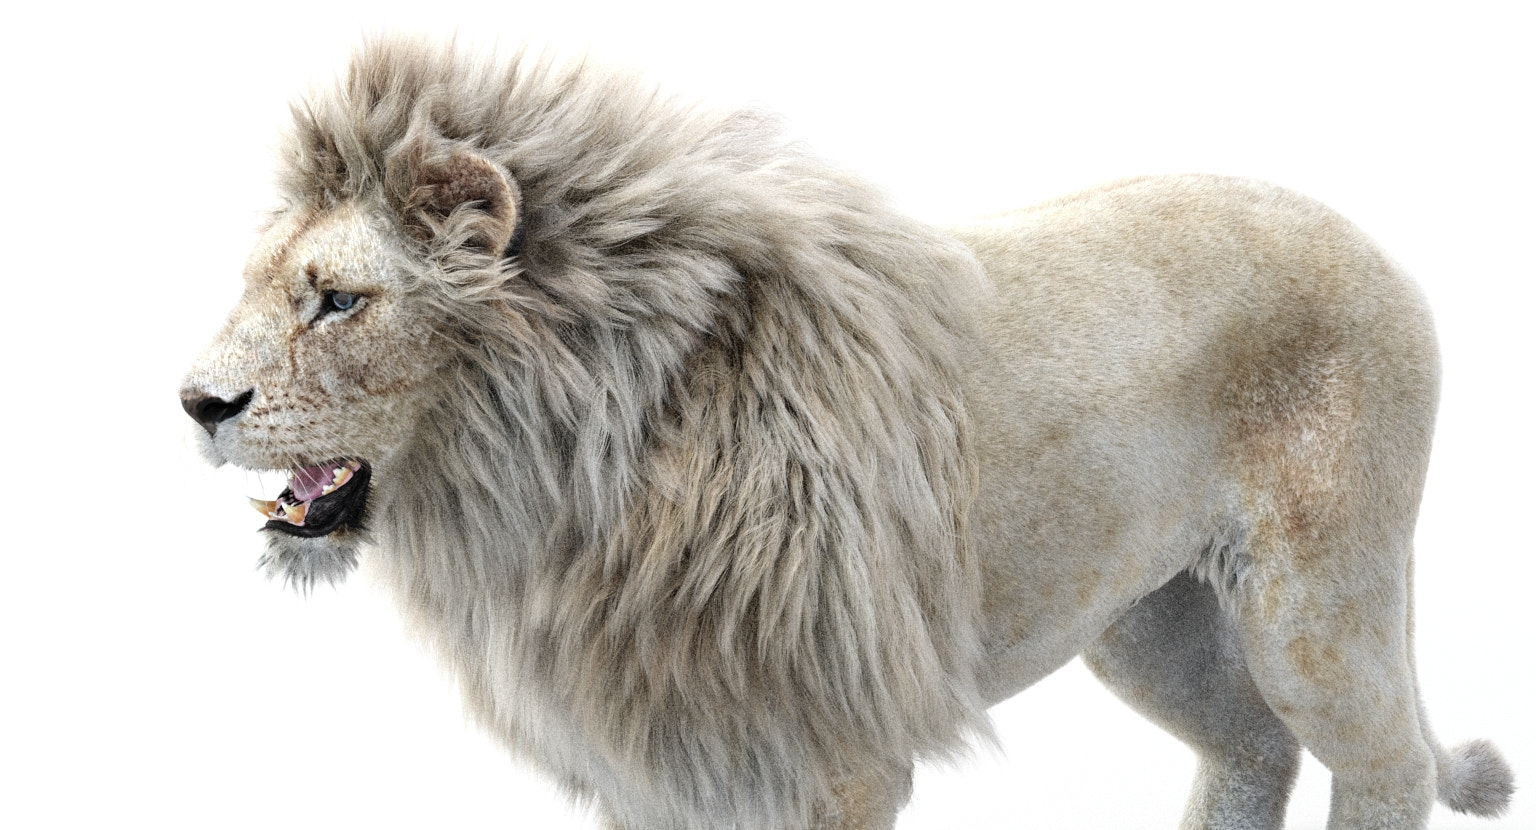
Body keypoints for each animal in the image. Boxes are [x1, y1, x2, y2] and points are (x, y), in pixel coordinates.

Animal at [180, 39, 1513, 829]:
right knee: (1253, 746)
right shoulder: (659, 762)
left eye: (337, 299)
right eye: (260, 283)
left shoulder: (835, 757)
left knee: (1384, 761)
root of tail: (1370, 239)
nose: (195, 403)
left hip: (1316, 600)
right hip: (1148, 618)